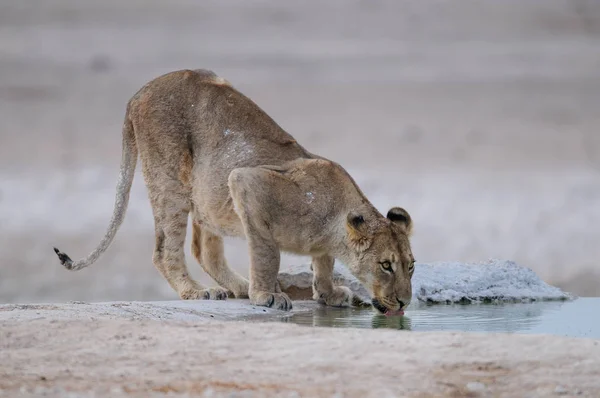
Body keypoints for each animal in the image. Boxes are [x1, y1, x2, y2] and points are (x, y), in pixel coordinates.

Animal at [54, 69, 414, 314]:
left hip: (207, 192)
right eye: (386, 265)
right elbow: (267, 254)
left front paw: (329, 294)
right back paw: (198, 291)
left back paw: (236, 287)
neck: (333, 222)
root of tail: (139, 93)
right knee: (165, 250)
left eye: (410, 266)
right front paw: (267, 294)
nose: (404, 302)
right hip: (170, 180)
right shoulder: (247, 182)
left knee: (203, 249)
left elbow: (323, 263)